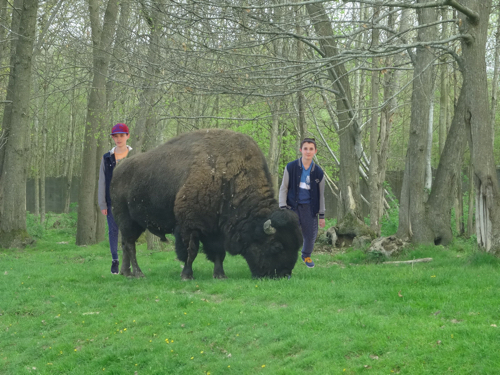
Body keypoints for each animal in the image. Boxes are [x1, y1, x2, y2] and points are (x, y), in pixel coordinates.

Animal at [111, 129, 302, 280]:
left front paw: (220, 275)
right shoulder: (190, 226)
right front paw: (187, 275)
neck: (229, 178)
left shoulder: (215, 228)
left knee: (126, 245)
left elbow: (218, 252)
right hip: (127, 220)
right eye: (277, 245)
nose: (284, 274)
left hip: (135, 223)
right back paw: (138, 273)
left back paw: (126, 273)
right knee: (130, 245)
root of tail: (117, 171)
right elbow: (191, 251)